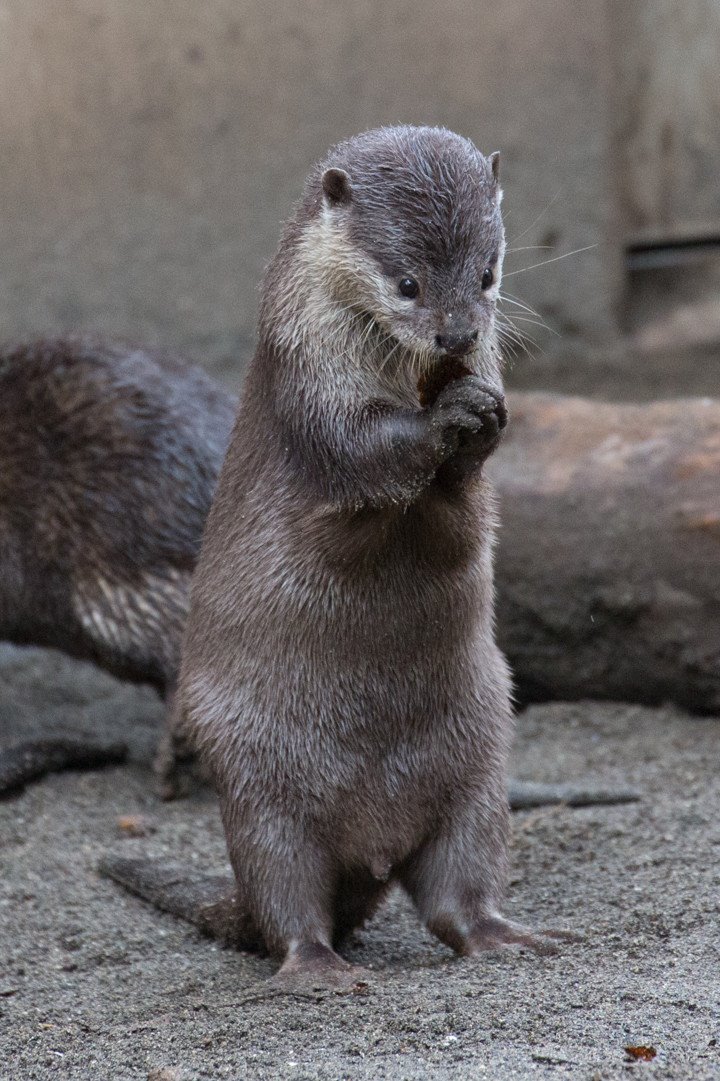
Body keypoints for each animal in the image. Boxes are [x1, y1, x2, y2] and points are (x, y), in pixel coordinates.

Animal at [104, 126, 575, 985]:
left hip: (480, 766)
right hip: (259, 787)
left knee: (459, 892)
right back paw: (318, 969)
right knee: (287, 893)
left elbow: (461, 510)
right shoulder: (310, 382)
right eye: (408, 281)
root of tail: (372, 847)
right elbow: (362, 460)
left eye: (487, 273)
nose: (458, 335)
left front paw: (482, 412)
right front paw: (444, 420)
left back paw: (508, 935)